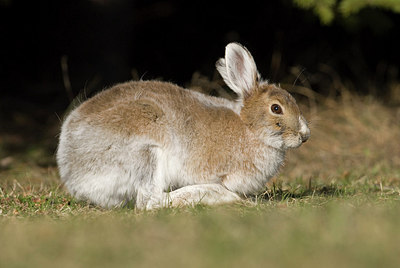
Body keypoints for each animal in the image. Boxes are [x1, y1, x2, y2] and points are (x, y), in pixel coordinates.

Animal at [56, 42, 310, 209]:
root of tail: (71, 171)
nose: (304, 135)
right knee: (150, 202)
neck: (250, 128)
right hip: (146, 153)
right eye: (276, 108)